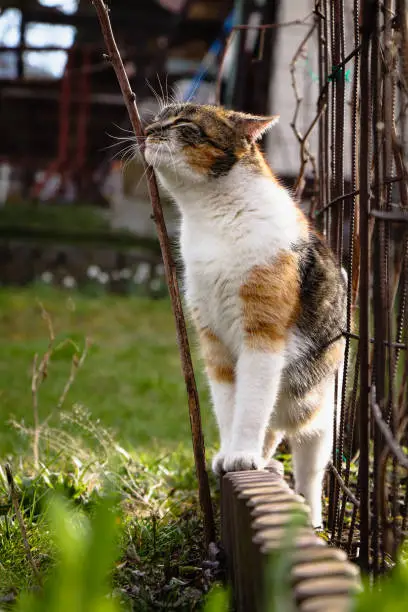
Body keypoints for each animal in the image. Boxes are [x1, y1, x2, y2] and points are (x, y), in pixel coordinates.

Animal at [143, 101, 344, 524]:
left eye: (184, 123)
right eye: (161, 115)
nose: (148, 129)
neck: (212, 217)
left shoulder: (262, 334)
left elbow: (251, 403)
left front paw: (242, 455)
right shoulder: (214, 339)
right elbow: (229, 405)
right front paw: (230, 454)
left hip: (317, 411)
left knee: (309, 470)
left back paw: (313, 518)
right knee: (272, 431)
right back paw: (265, 461)